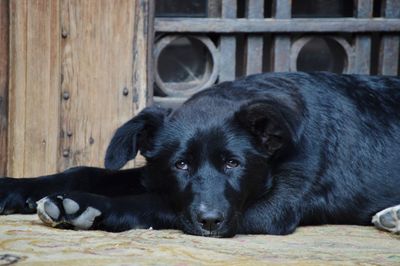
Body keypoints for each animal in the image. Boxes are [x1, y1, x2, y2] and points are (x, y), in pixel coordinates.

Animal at [0, 72, 400, 237]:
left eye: (234, 164)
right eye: (181, 165)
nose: (210, 222)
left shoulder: (271, 211)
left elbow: (154, 204)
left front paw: (84, 205)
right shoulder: (154, 171)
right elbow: (86, 171)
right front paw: (16, 187)